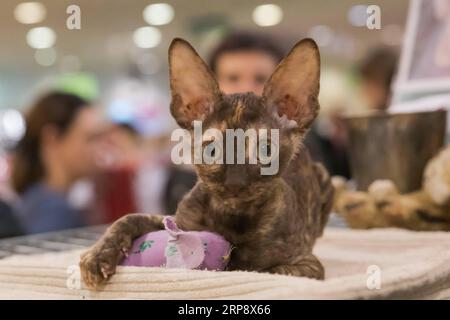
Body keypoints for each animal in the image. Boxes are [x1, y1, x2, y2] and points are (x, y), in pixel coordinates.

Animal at [80, 38, 334, 290]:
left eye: (266, 150)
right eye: (212, 151)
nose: (235, 183)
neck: (231, 216)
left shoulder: (307, 265)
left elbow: (260, 269)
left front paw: (235, 261)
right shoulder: (177, 221)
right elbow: (128, 218)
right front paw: (97, 256)